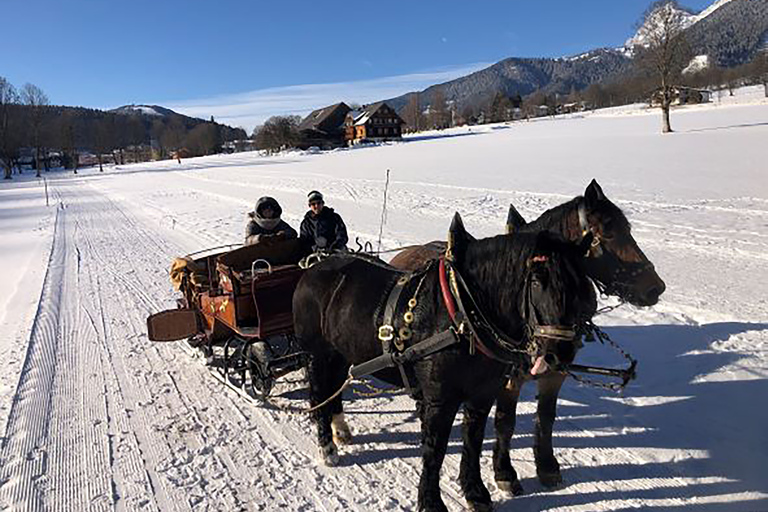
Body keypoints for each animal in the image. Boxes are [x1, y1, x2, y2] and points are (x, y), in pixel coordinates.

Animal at [292, 216, 596, 512]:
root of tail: (315, 266)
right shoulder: (441, 399)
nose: (560, 354)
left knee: (334, 391)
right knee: (318, 395)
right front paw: (430, 502)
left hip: (341, 354)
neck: (462, 315)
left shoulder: (483, 395)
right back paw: (327, 447)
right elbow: (435, 450)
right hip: (317, 355)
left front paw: (475, 493)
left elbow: (473, 442)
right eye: (536, 281)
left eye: (583, 287)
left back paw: (340, 430)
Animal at [390, 179, 664, 492]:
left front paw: (547, 466)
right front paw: (504, 471)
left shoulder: (555, 372)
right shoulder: (508, 378)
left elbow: (546, 417)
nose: (656, 288)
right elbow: (505, 421)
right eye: (609, 233)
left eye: (628, 229)